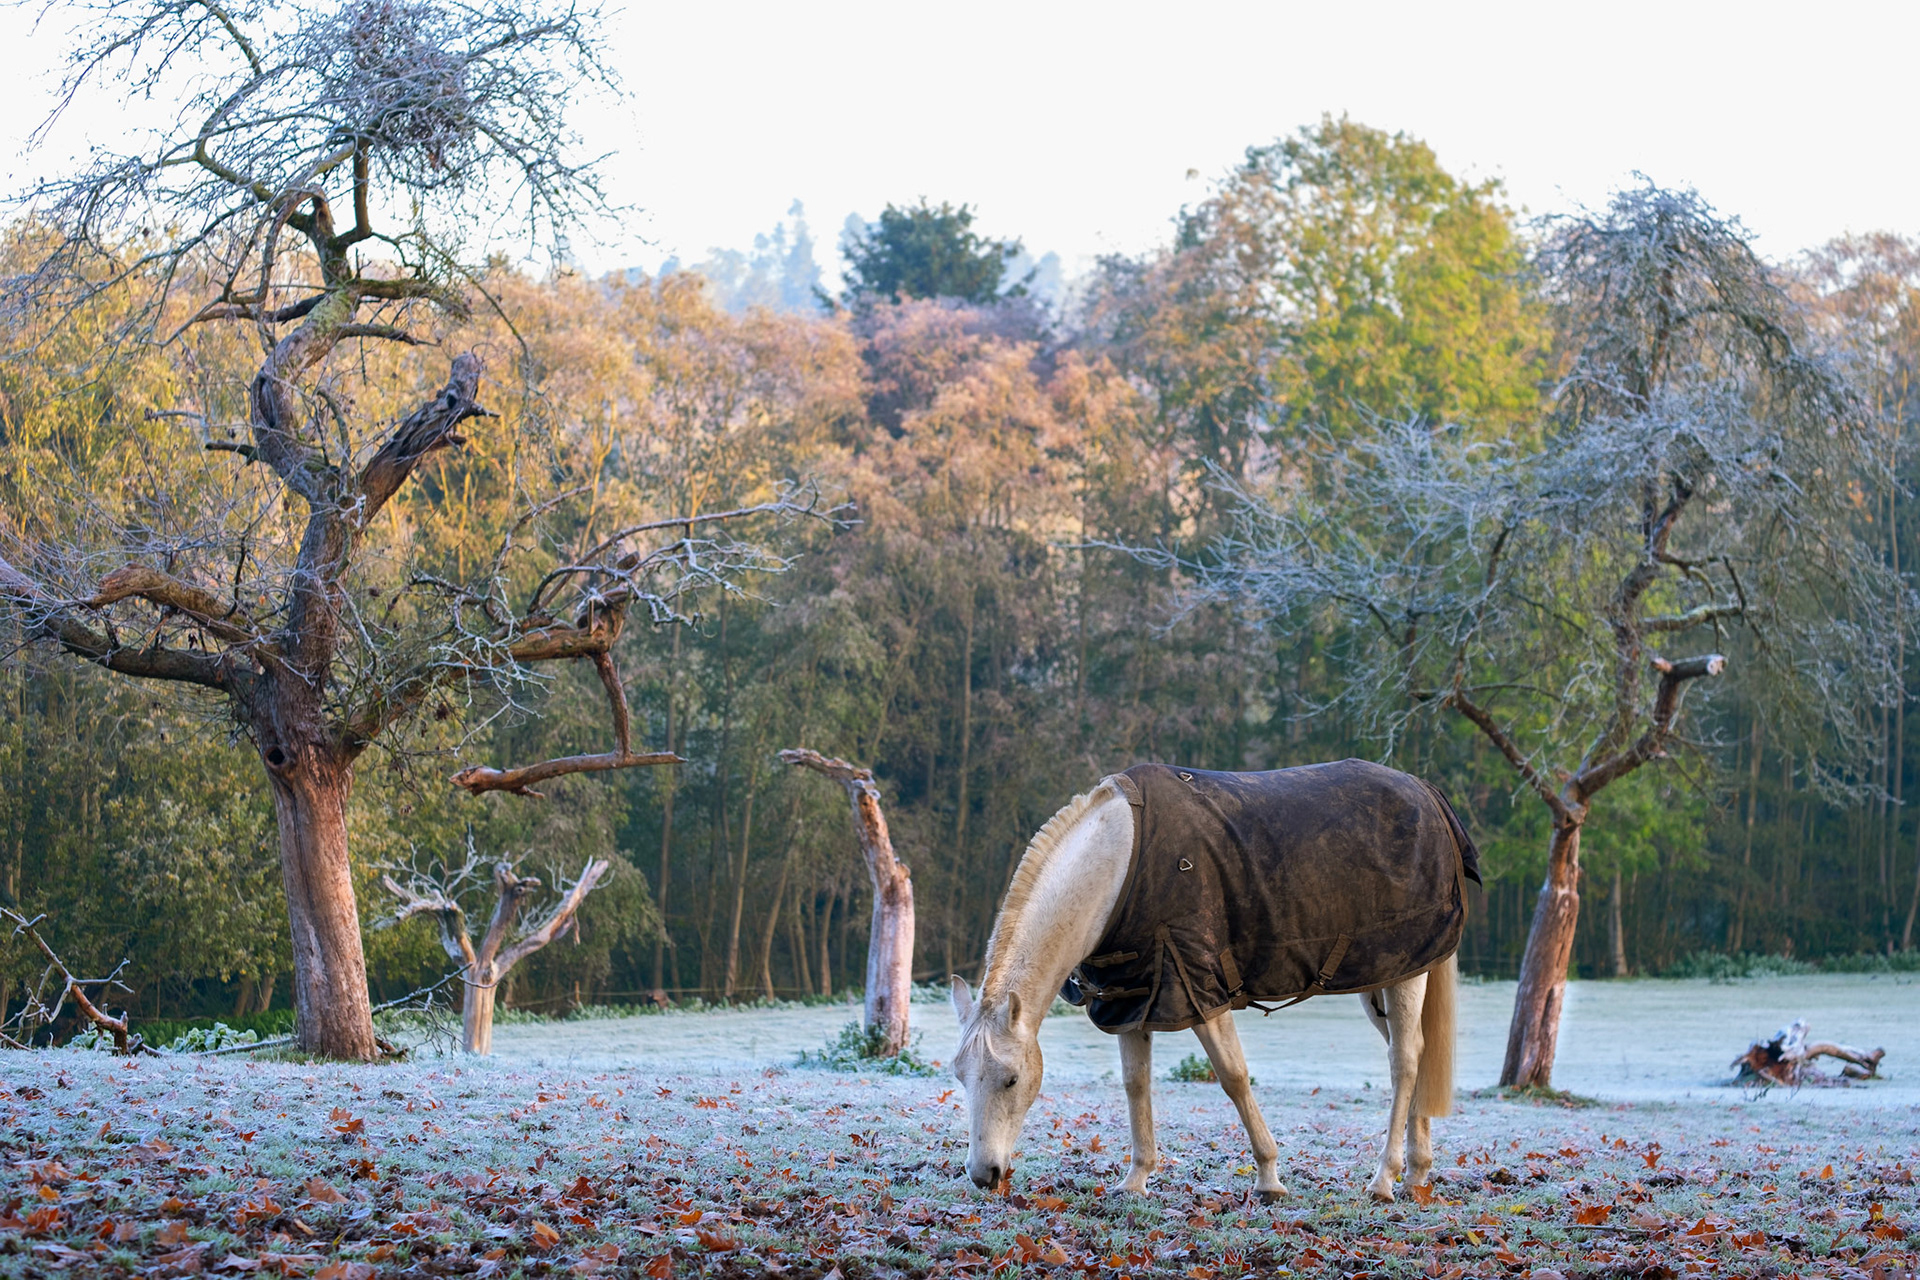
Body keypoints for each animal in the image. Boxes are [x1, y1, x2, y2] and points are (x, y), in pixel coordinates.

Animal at [949, 761, 1471, 1203]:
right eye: (959, 1076)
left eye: (1012, 1079)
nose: (983, 1175)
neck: (1123, 863)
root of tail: (1423, 790)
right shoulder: (1131, 1000)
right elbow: (1135, 1084)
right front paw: (1136, 1179)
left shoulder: (1199, 990)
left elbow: (1234, 1077)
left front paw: (1269, 1177)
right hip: (1383, 978)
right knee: (1414, 1053)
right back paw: (1417, 1172)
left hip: (1405, 975)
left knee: (1404, 1062)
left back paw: (1384, 1178)